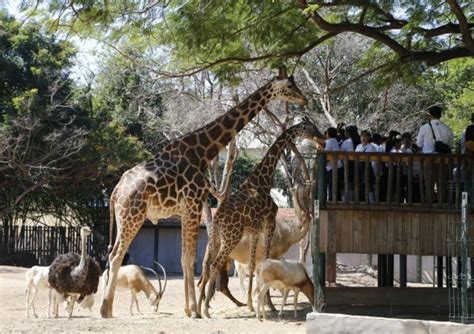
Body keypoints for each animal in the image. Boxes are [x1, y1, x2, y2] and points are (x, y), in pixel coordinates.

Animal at [100, 68, 308, 318]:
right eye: (289, 86)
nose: (304, 100)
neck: (203, 151)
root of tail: (115, 192)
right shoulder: (193, 202)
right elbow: (191, 259)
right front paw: (195, 310)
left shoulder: (186, 208)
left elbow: (185, 258)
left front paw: (189, 309)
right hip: (133, 217)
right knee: (116, 256)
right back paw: (105, 309)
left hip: (123, 218)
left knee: (113, 254)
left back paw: (109, 308)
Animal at [196, 118, 322, 318]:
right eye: (311, 127)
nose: (321, 136)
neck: (263, 180)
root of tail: (218, 219)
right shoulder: (269, 223)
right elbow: (263, 262)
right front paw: (268, 306)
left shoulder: (254, 230)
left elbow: (253, 266)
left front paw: (252, 304)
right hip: (231, 237)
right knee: (215, 267)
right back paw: (206, 309)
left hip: (216, 239)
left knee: (207, 269)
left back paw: (200, 308)